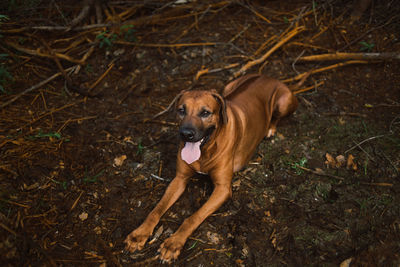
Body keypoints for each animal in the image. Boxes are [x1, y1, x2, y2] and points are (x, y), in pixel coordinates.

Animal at [124, 74, 296, 262]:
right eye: (181, 110)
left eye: (205, 113)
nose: (186, 134)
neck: (205, 150)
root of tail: (268, 76)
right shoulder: (179, 179)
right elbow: (156, 210)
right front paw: (139, 234)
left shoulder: (222, 189)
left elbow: (193, 217)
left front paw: (174, 243)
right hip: (229, 86)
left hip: (284, 101)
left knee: (276, 117)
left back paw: (270, 129)